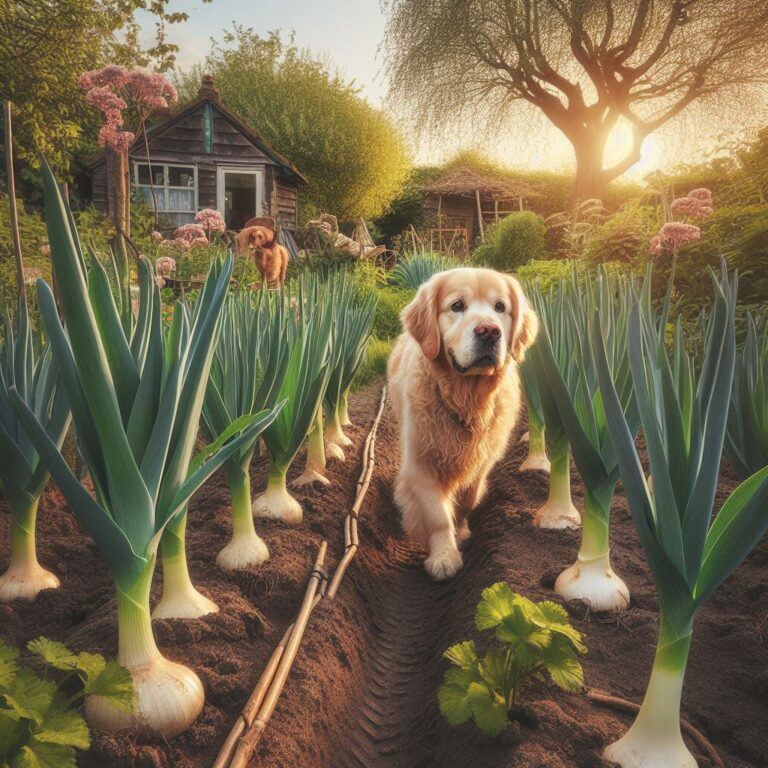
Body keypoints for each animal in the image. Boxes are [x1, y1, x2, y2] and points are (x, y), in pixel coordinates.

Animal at [388, 268, 536, 580]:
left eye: (500, 307)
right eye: (457, 306)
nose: (489, 331)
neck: (465, 401)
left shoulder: (482, 461)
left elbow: (467, 499)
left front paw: (461, 530)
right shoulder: (422, 463)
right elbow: (437, 515)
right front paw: (444, 555)